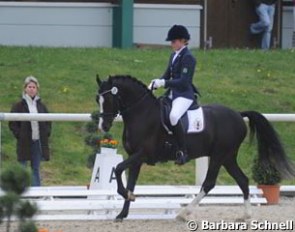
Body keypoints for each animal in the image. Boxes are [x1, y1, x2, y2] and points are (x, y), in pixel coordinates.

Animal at [96, 74, 294, 221]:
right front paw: (122, 213)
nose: (103, 126)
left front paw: (126, 198)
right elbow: (130, 182)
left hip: (219, 155)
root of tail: (238, 115)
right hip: (228, 157)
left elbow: (118, 168)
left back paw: (184, 214)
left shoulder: (142, 154)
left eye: (109, 98)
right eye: (98, 99)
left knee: (209, 183)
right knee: (243, 180)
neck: (142, 113)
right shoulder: (135, 157)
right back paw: (246, 215)